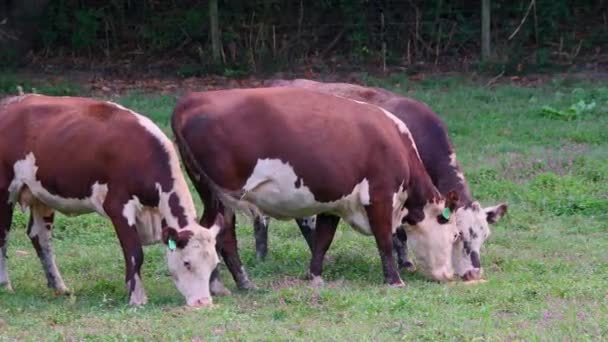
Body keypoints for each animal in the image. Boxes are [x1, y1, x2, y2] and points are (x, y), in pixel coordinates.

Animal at [0, 94, 223, 308]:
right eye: (187, 263)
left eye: (214, 265)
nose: (203, 302)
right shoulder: (118, 206)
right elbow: (135, 253)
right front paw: (137, 297)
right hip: (5, 190)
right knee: (3, 236)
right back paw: (5, 285)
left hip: (40, 195)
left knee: (40, 237)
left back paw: (59, 286)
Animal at [170, 87, 460, 292]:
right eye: (456, 234)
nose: (451, 276)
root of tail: (193, 100)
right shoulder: (380, 195)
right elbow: (384, 240)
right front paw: (394, 280)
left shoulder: (335, 202)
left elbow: (322, 240)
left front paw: (315, 276)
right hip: (224, 196)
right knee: (223, 236)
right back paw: (240, 283)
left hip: (211, 194)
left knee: (207, 230)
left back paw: (221, 283)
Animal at [253, 79, 508, 282]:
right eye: (459, 234)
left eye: (484, 236)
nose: (474, 273)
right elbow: (398, 233)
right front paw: (404, 263)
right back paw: (262, 255)